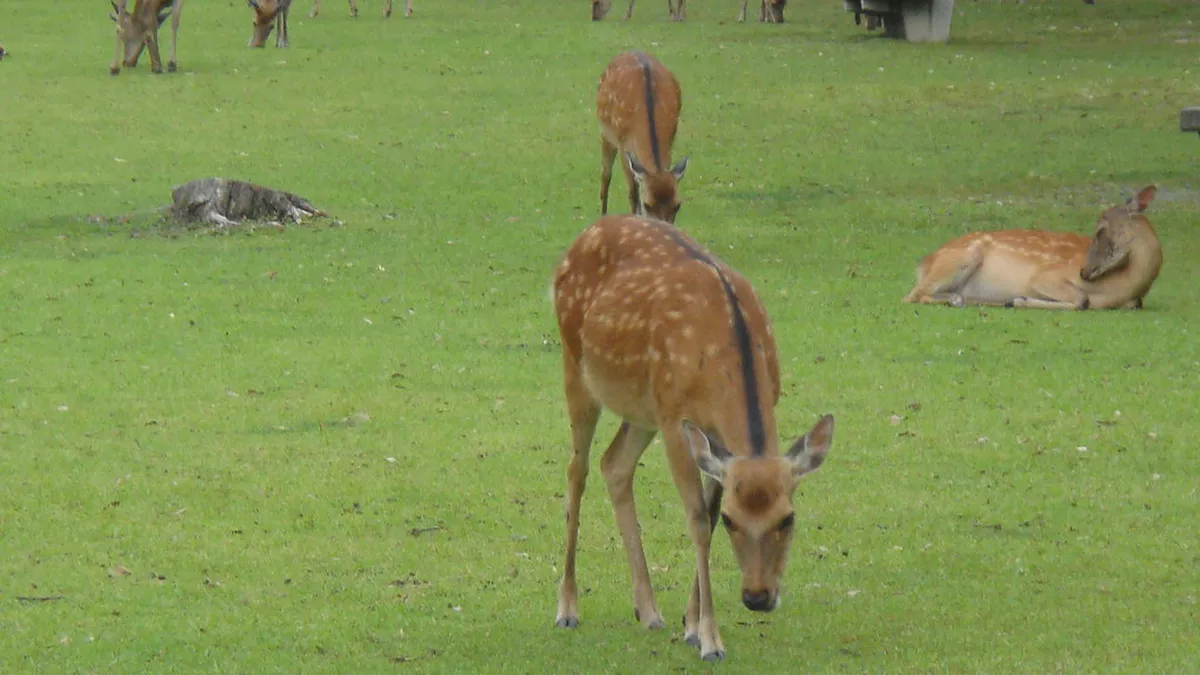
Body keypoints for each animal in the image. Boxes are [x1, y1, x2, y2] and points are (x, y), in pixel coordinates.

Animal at [551, 214, 836, 662]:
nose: (757, 597)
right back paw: (567, 607)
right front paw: (709, 639)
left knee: (613, 464)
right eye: (734, 521)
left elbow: (708, 508)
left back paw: (648, 610)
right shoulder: (676, 424)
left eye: (788, 518)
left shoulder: (711, 433)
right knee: (576, 471)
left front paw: (689, 623)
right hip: (576, 366)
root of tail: (588, 231)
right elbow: (699, 520)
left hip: (644, 406)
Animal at [597, 51, 689, 224]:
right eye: (648, 204)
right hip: (605, 133)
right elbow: (633, 193)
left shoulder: (670, 142)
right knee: (605, 177)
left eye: (677, 205)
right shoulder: (623, 146)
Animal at [903, 186, 1161, 310]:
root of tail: (922, 263)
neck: (1121, 290)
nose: (1084, 271)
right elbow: (1082, 300)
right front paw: (1021, 300)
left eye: (1100, 230)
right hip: (962, 257)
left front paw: (1016, 300)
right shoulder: (1045, 276)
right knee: (913, 295)